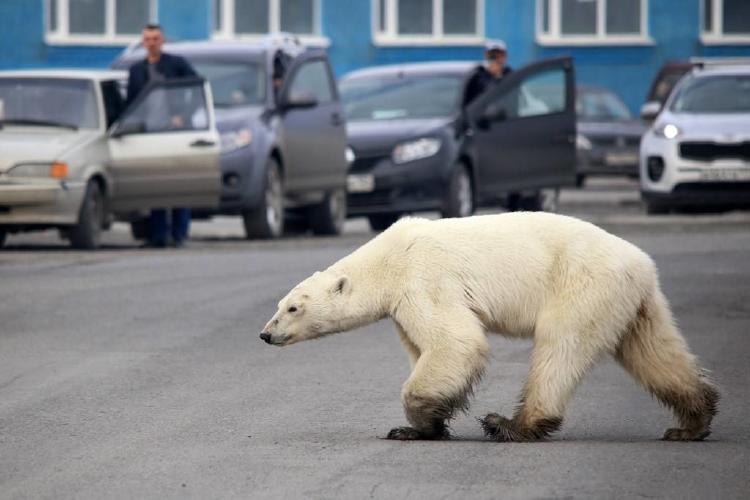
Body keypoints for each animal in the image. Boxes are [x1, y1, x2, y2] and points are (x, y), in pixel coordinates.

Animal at [259, 212, 719, 442]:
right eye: (279, 305)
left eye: (293, 308)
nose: (265, 334)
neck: (387, 258)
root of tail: (641, 264)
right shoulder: (403, 304)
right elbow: (423, 347)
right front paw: (419, 427)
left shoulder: (423, 279)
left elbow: (455, 342)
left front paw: (417, 421)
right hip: (633, 302)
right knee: (654, 352)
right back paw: (690, 423)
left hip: (582, 284)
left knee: (560, 346)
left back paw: (511, 424)